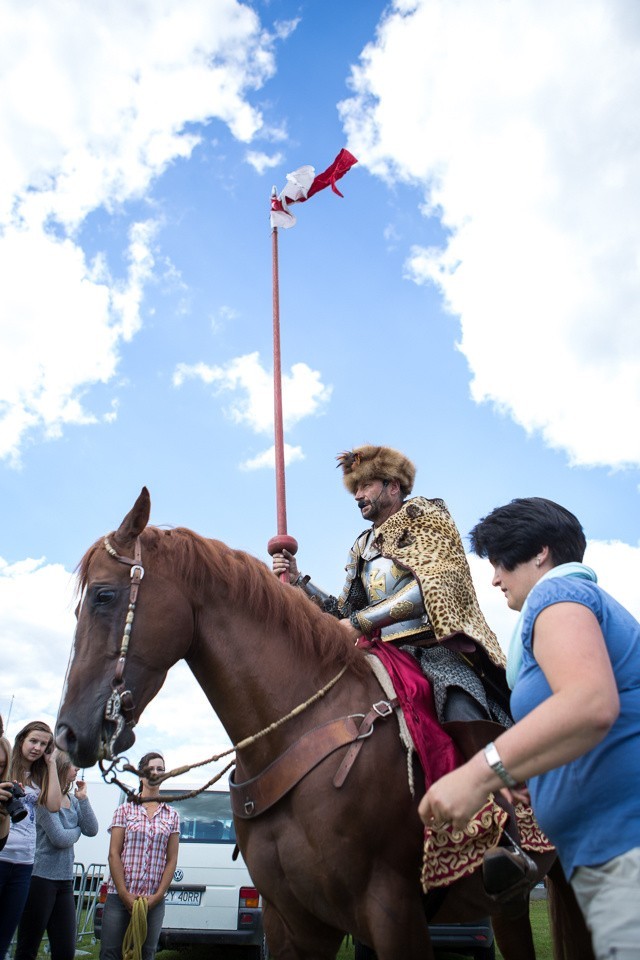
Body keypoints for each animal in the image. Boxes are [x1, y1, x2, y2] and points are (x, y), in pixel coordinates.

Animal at [56, 492, 596, 960]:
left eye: (104, 596)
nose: (67, 734)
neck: (297, 728)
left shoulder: (393, 911)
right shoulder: (292, 921)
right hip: (510, 905)